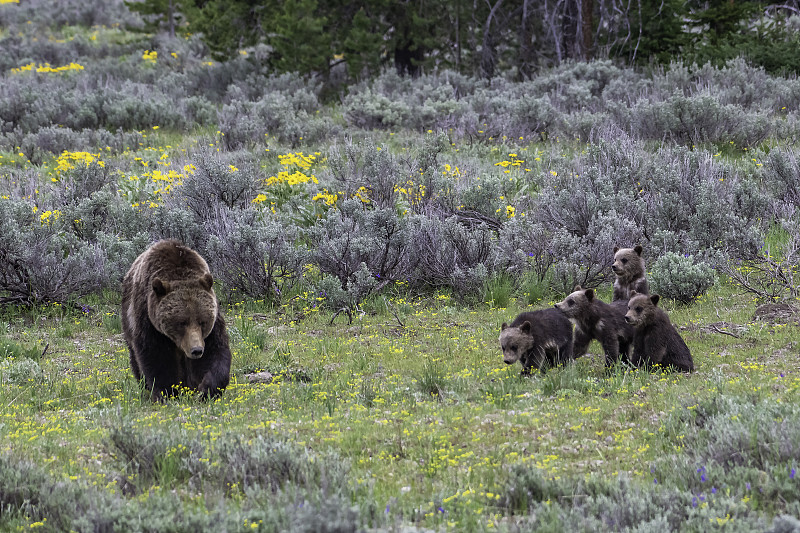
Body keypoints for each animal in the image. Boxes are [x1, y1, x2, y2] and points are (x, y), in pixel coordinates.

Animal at [120, 241, 231, 400]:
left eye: (202, 321)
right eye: (182, 322)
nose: (196, 350)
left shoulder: (211, 326)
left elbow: (215, 352)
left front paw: (207, 389)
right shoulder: (149, 322)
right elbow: (156, 357)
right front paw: (167, 392)